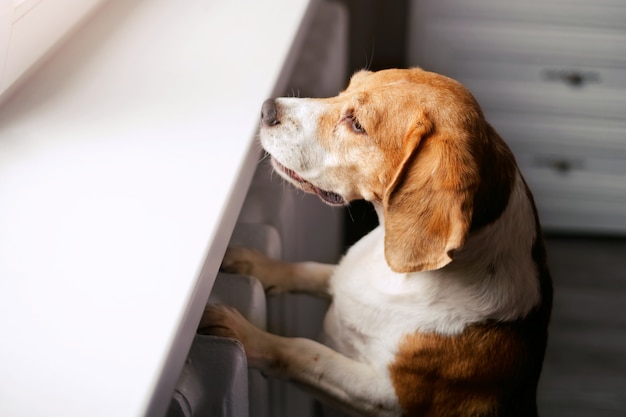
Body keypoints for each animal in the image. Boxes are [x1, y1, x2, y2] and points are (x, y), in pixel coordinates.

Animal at [201, 68, 552, 416]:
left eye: (357, 124)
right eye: (346, 88)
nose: (266, 109)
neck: (396, 273)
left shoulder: (387, 395)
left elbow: (304, 351)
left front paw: (245, 334)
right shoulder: (342, 275)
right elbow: (309, 270)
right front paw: (255, 263)